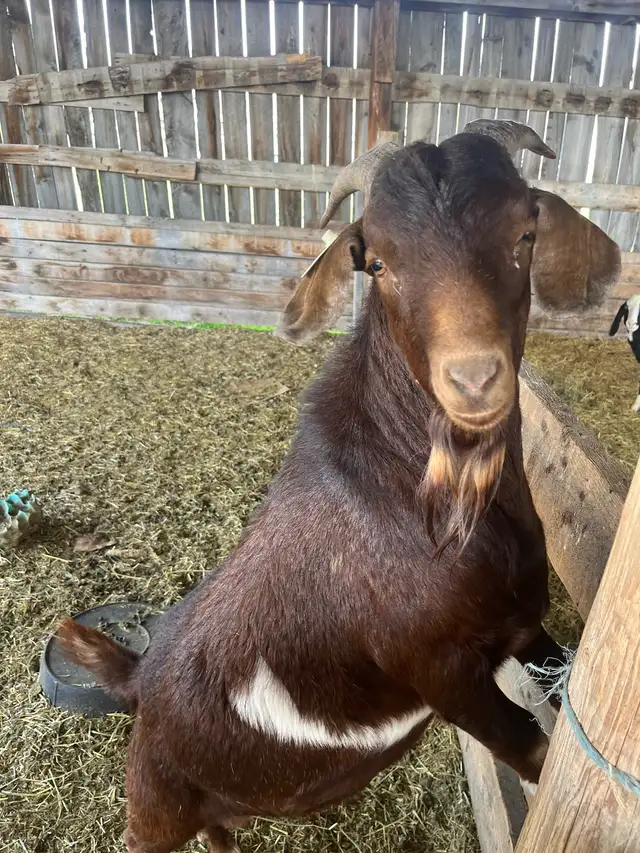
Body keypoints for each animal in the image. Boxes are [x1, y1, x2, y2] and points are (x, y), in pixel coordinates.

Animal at [56, 120, 621, 853]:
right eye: (376, 263)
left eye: (525, 234)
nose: (473, 378)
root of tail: (135, 678)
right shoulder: (439, 671)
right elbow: (530, 746)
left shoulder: (524, 621)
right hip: (153, 805)